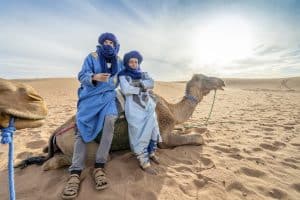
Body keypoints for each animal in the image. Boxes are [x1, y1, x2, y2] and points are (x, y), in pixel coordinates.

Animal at [17, 73, 224, 170]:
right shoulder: (163, 135)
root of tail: (57, 132)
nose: (222, 81)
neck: (172, 110)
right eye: (204, 77)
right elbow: (198, 139)